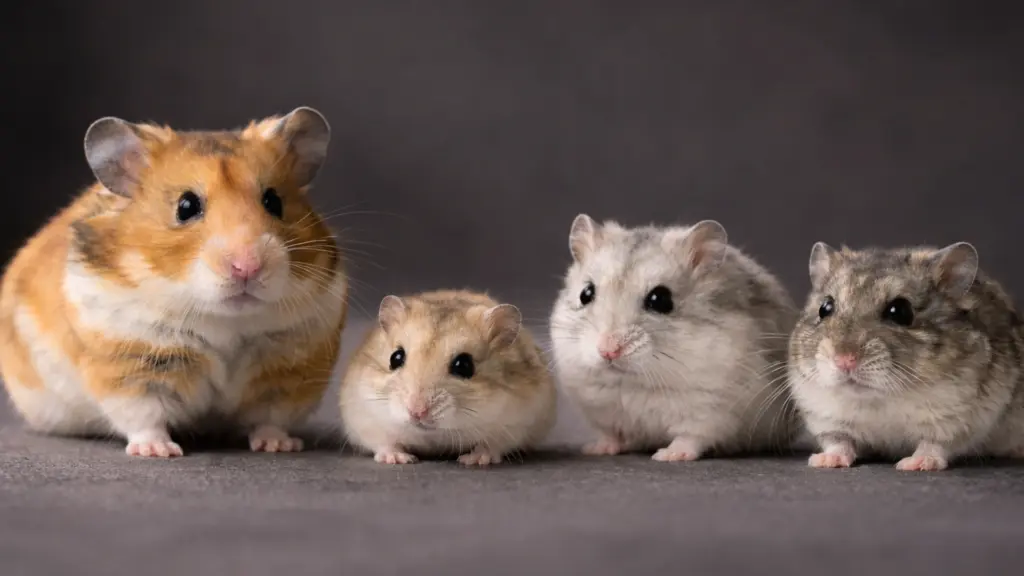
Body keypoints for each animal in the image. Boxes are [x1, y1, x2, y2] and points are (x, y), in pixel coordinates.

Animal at [0, 107, 349, 457]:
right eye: (186, 206)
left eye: (274, 201)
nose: (247, 267)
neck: (224, 321)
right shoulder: (130, 364)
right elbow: (144, 415)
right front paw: (158, 451)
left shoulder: (288, 372)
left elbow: (270, 417)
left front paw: (278, 446)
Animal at [339, 290, 557, 466]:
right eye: (395, 358)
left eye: (464, 365)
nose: (417, 412)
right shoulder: (365, 418)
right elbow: (385, 442)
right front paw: (398, 459)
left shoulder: (515, 424)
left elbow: (491, 445)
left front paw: (474, 460)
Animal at [549, 214, 799, 461]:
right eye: (585, 294)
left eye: (660, 300)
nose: (608, 350)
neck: (632, 381)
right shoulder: (602, 413)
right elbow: (611, 435)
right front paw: (595, 449)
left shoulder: (710, 411)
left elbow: (691, 437)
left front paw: (668, 455)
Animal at [788, 242, 1024, 471]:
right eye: (825, 308)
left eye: (900, 312)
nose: (844, 361)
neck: (878, 398)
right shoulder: (825, 416)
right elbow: (839, 441)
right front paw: (823, 461)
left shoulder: (954, 420)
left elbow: (933, 445)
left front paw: (913, 465)